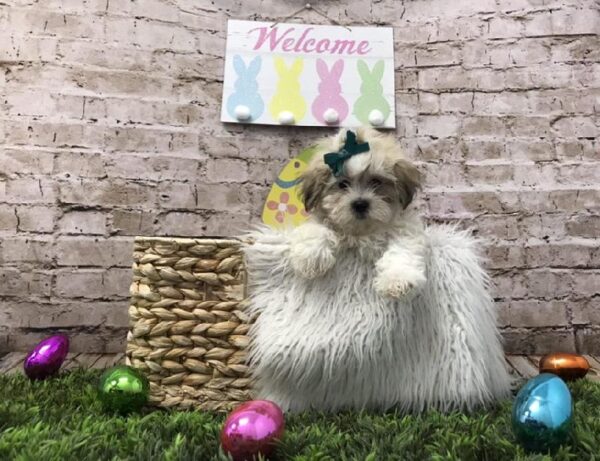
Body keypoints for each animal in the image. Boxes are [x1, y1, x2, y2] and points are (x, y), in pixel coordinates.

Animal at [290, 126, 426, 298]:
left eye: (376, 182)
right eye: (342, 184)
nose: (360, 204)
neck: (361, 232)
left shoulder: (405, 227)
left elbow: (403, 248)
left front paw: (398, 278)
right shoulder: (319, 218)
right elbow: (315, 229)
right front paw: (311, 256)